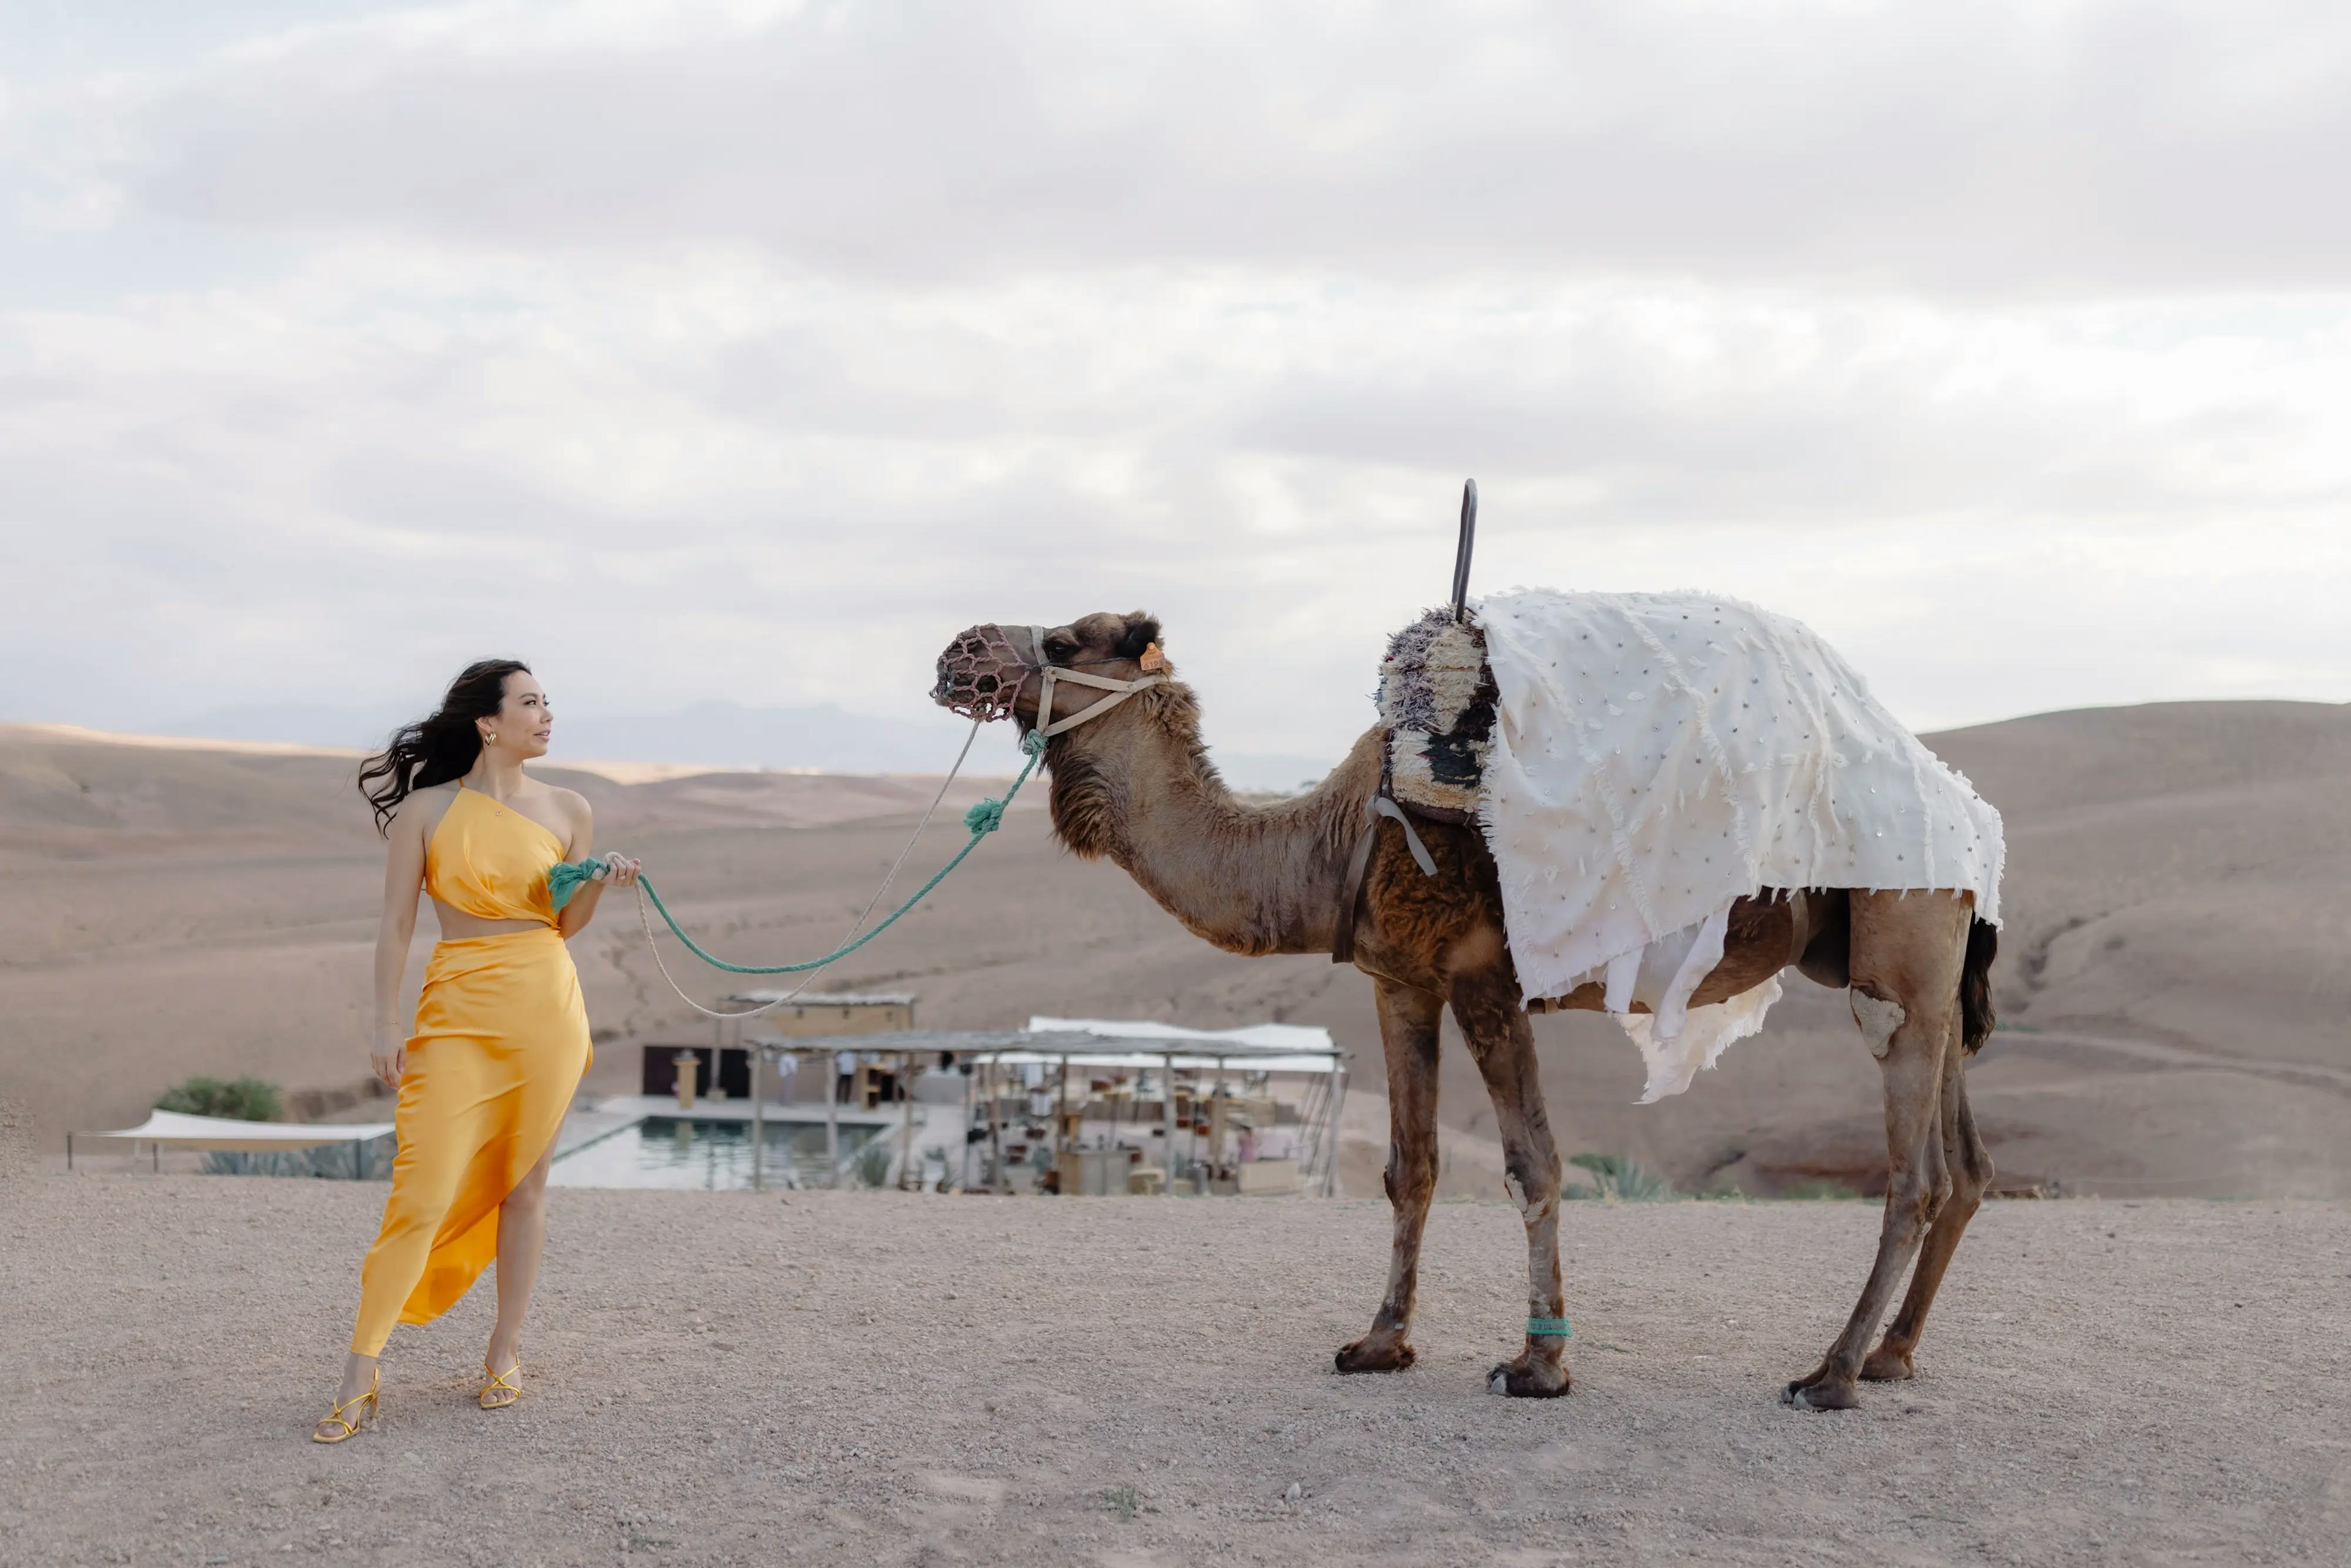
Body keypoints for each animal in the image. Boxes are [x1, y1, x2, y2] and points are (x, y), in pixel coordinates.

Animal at [926, 611, 1993, 1410]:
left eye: (1064, 639)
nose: (956, 654)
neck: (1334, 838)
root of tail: (1970, 815)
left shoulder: (1487, 978)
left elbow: (1533, 1166)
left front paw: (1539, 1363)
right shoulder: (1400, 979)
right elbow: (1414, 1167)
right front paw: (1378, 1343)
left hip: (1899, 935)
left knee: (1914, 1170)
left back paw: (1831, 1374)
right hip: (1917, 964)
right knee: (1966, 1165)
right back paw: (1892, 1356)